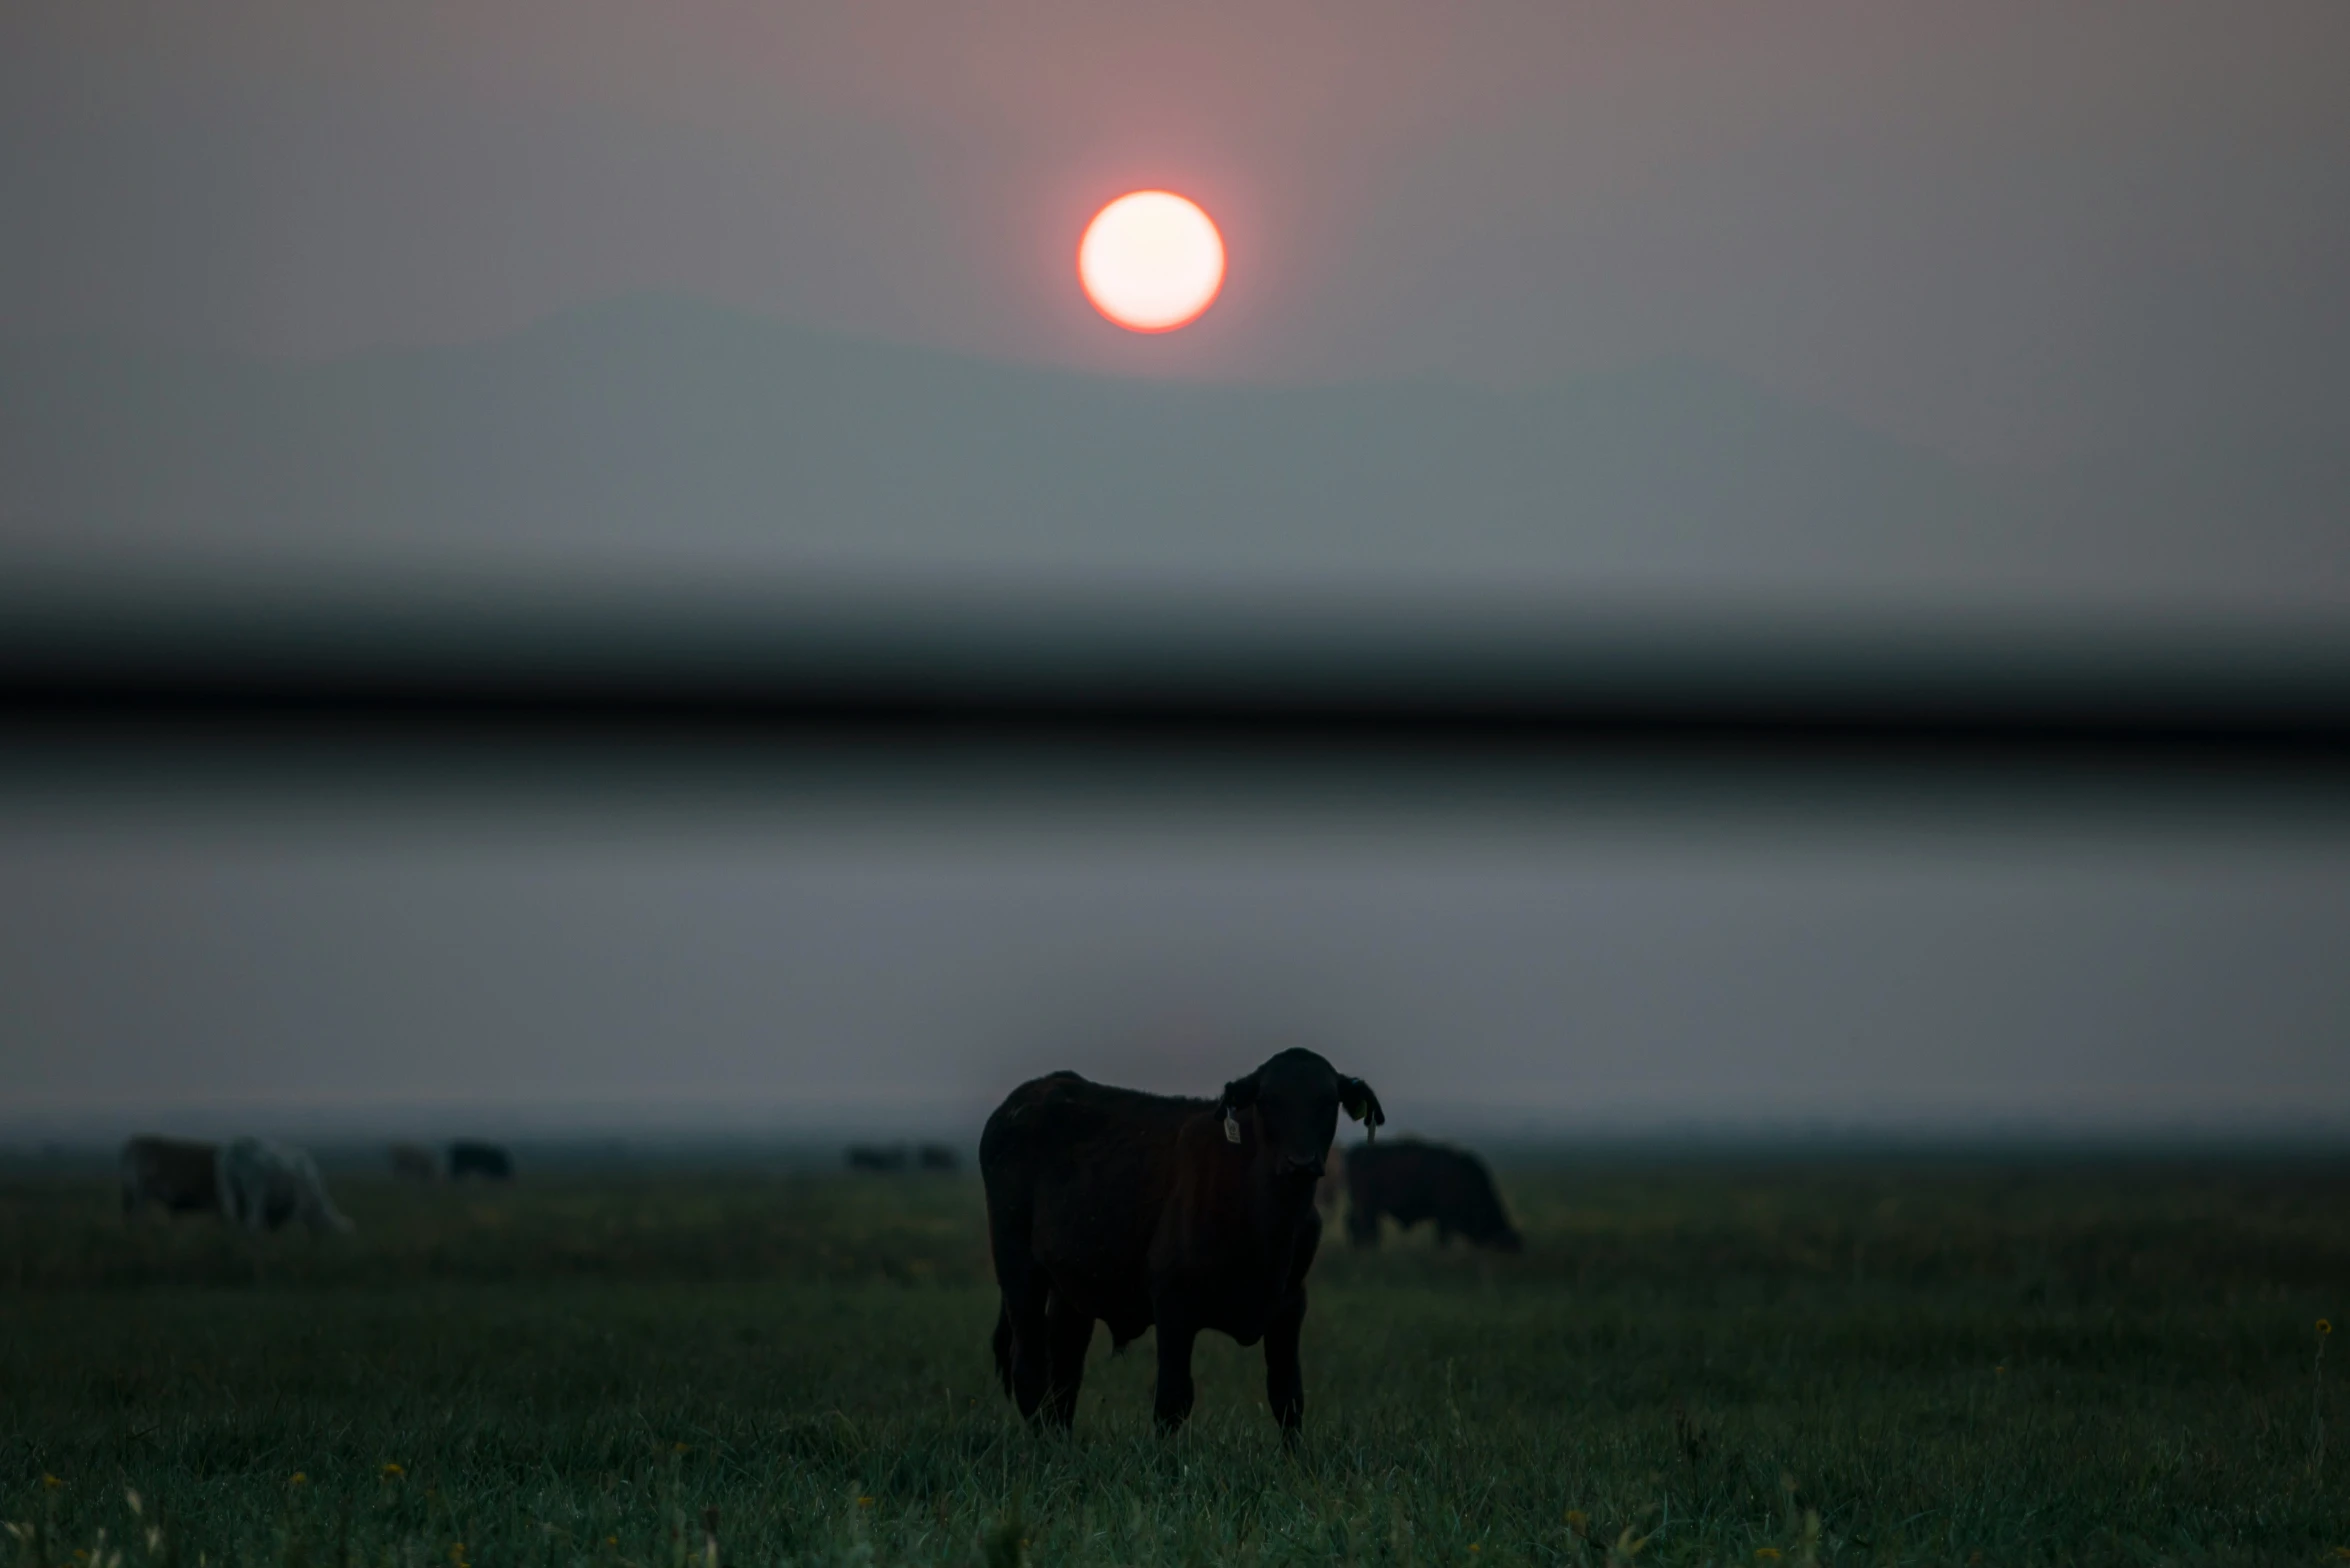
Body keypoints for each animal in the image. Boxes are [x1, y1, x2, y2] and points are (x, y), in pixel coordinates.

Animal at [216, 1142, 352, 1241]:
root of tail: (238, 1147)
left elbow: (277, 1223)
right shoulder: (300, 1199)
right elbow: (293, 1219)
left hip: (230, 1190)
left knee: (233, 1216)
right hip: (255, 1192)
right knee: (252, 1221)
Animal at [972, 1048, 1372, 1438]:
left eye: (1328, 1101)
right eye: (1268, 1100)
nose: (1301, 1162)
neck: (1267, 1225)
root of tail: (1029, 1094)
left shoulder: (1290, 1305)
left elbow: (1287, 1396)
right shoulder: (1172, 1303)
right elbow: (1172, 1399)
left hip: (1071, 1290)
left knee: (1065, 1369)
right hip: (1018, 1272)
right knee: (1029, 1370)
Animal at [1344, 1142, 1522, 1250]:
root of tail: (1357, 1150)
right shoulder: (1445, 1220)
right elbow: (1442, 1240)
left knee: (1360, 1227)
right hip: (1366, 1207)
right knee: (1363, 1228)